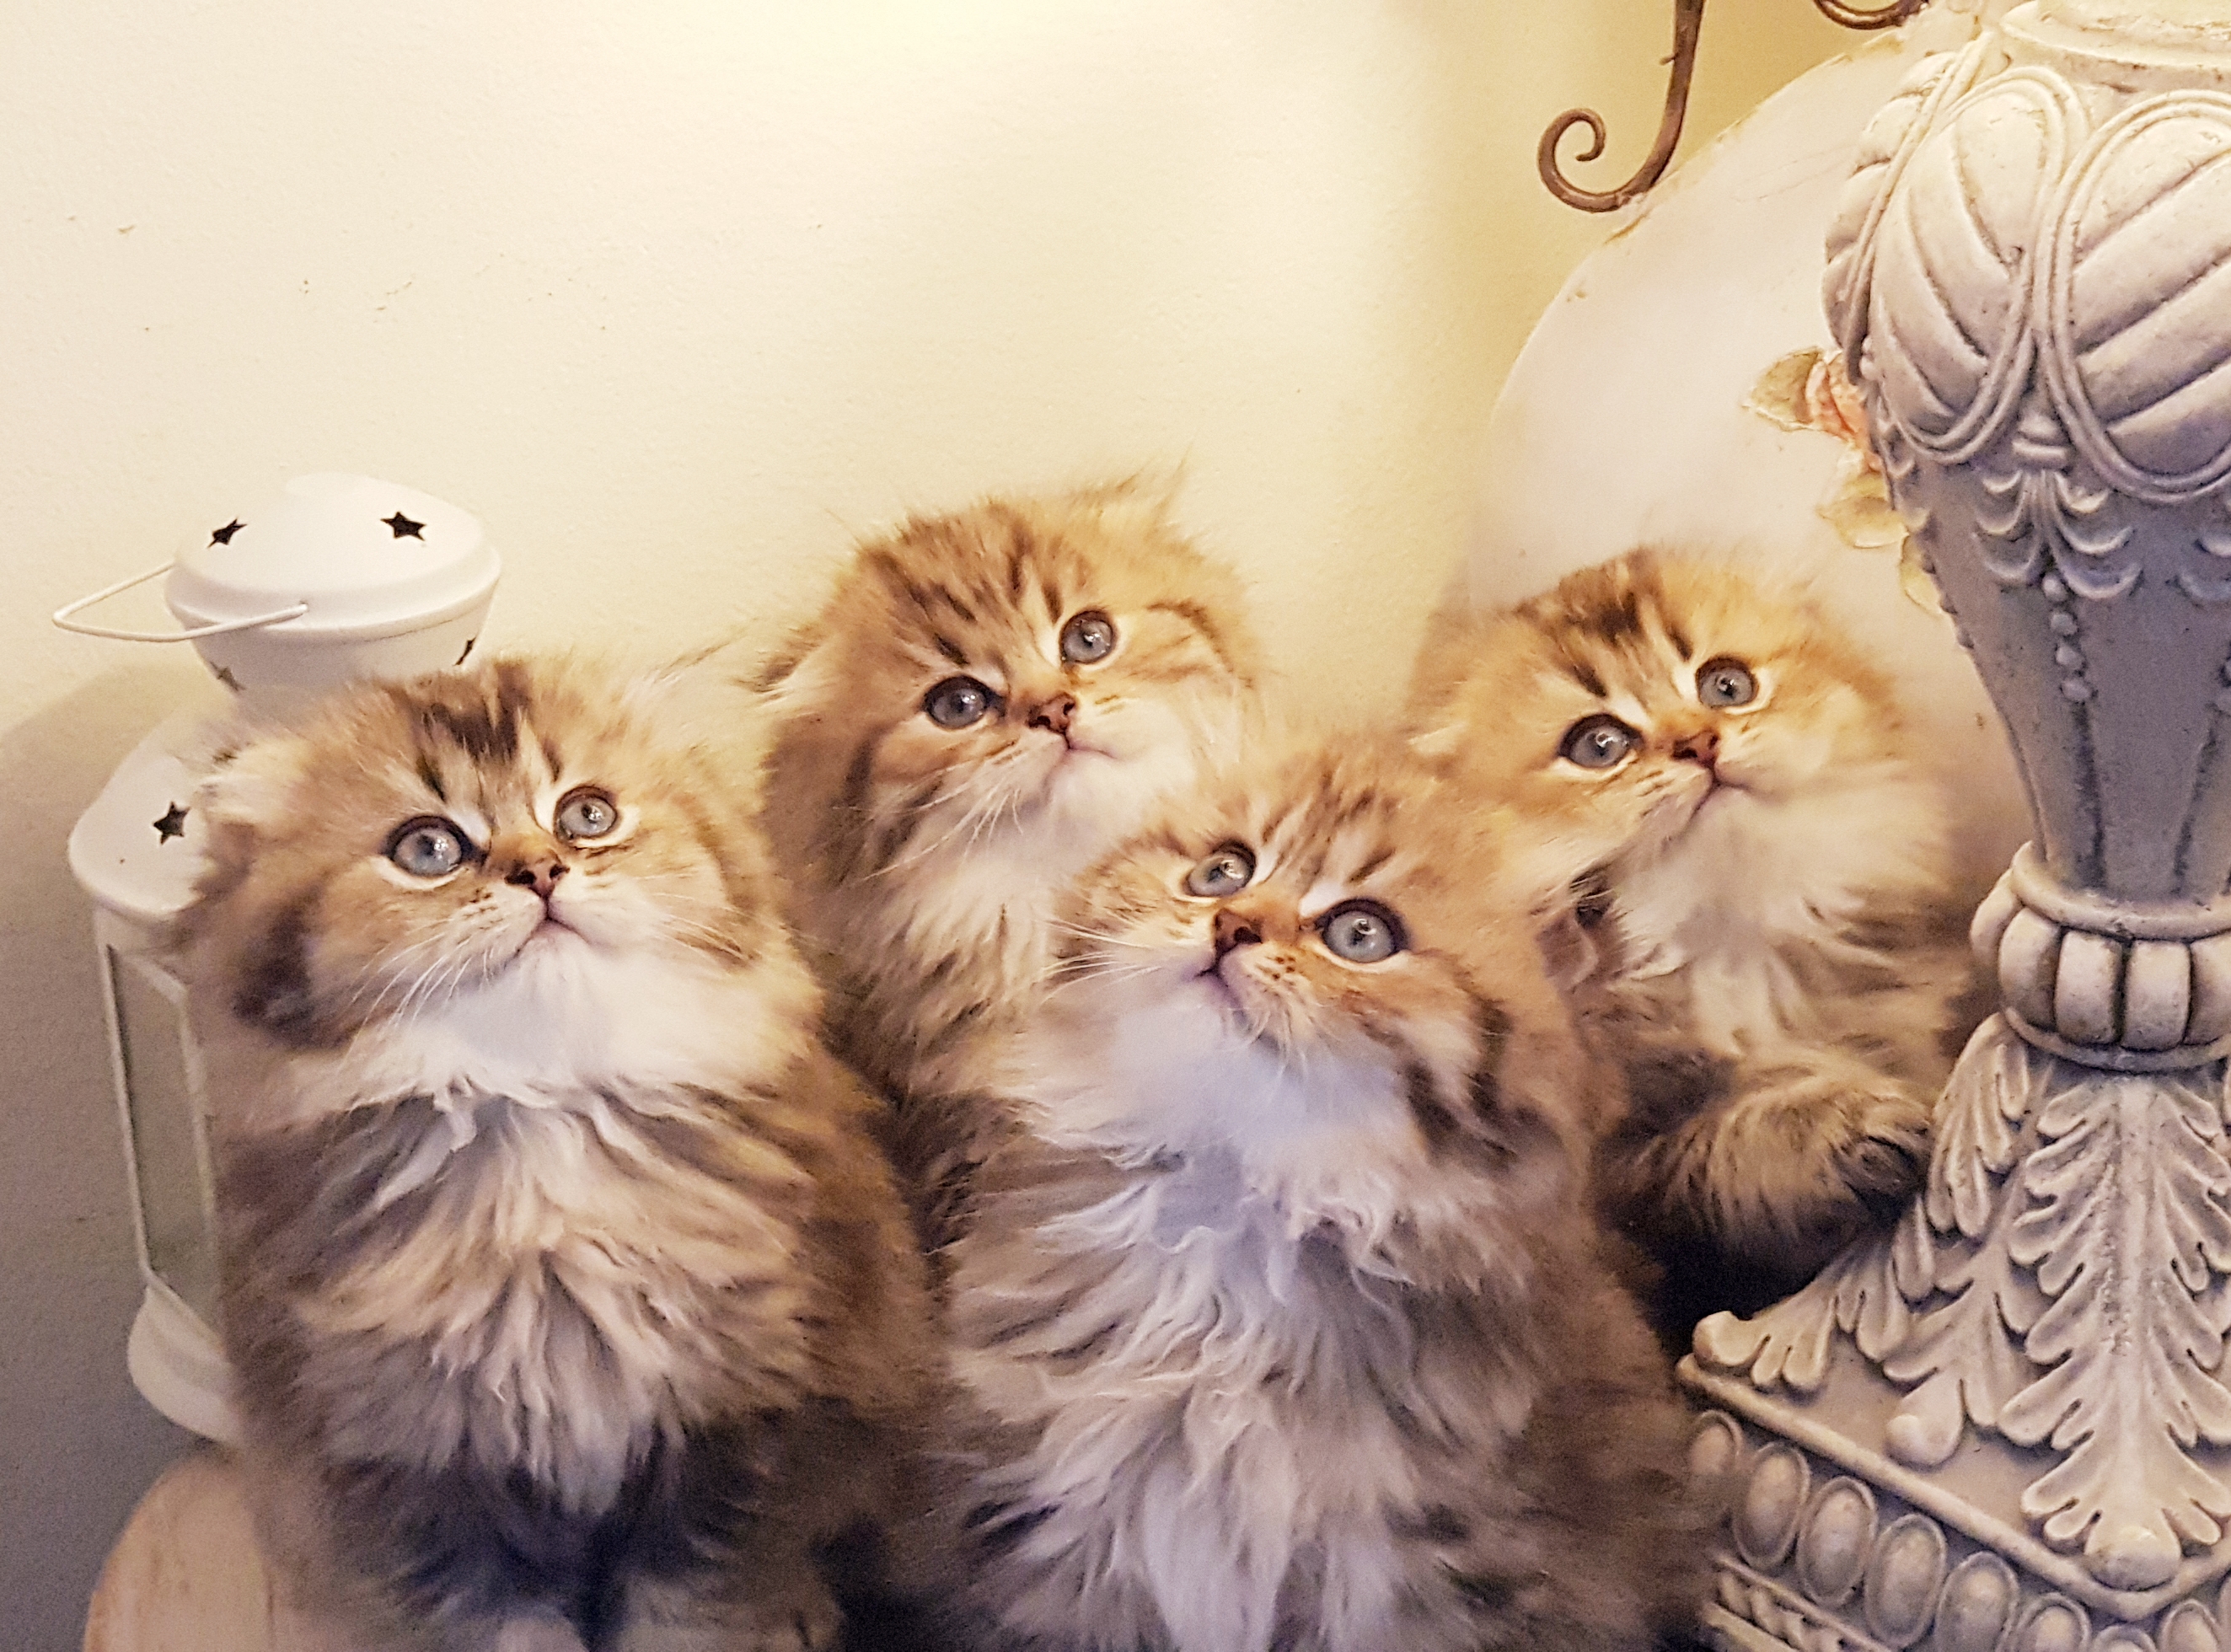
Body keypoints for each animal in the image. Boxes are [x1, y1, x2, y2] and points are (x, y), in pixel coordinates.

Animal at [177, 657, 937, 1652]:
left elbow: (690, 1613)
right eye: (428, 849)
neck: (538, 1119)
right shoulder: (414, 1468)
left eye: (586, 815)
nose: (540, 870)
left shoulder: (731, 1436)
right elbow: (502, 1627)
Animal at [915, 734, 1712, 1652]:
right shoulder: (1061, 1550)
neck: (1232, 1205)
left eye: (1360, 934)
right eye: (1222, 871)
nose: (1231, 923)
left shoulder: (1423, 1578)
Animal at [1409, 549, 1974, 1338]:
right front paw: (1849, 1130)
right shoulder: (1617, 1178)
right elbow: (1721, 1148)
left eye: (1726, 686)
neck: (1727, 942)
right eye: (1598, 745)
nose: (1699, 743)